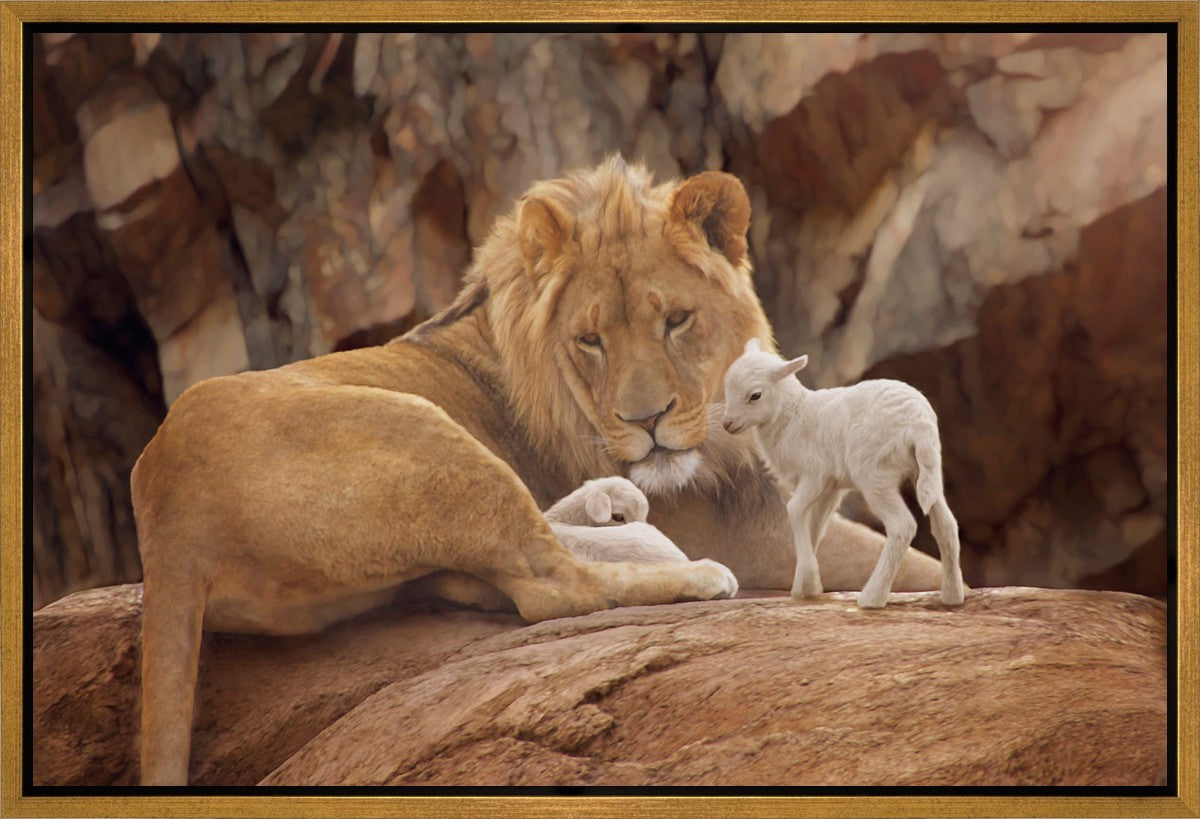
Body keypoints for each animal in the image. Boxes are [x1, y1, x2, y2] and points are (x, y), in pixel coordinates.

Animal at [721, 338, 965, 609]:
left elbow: (794, 510)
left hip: (874, 473)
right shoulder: (831, 487)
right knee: (946, 525)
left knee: (902, 526)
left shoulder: (814, 474)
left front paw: (808, 581)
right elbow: (815, 525)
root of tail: (919, 424)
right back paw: (952, 596)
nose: (727, 424)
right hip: (928, 470)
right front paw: (806, 586)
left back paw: (872, 597)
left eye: (755, 395)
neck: (793, 416)